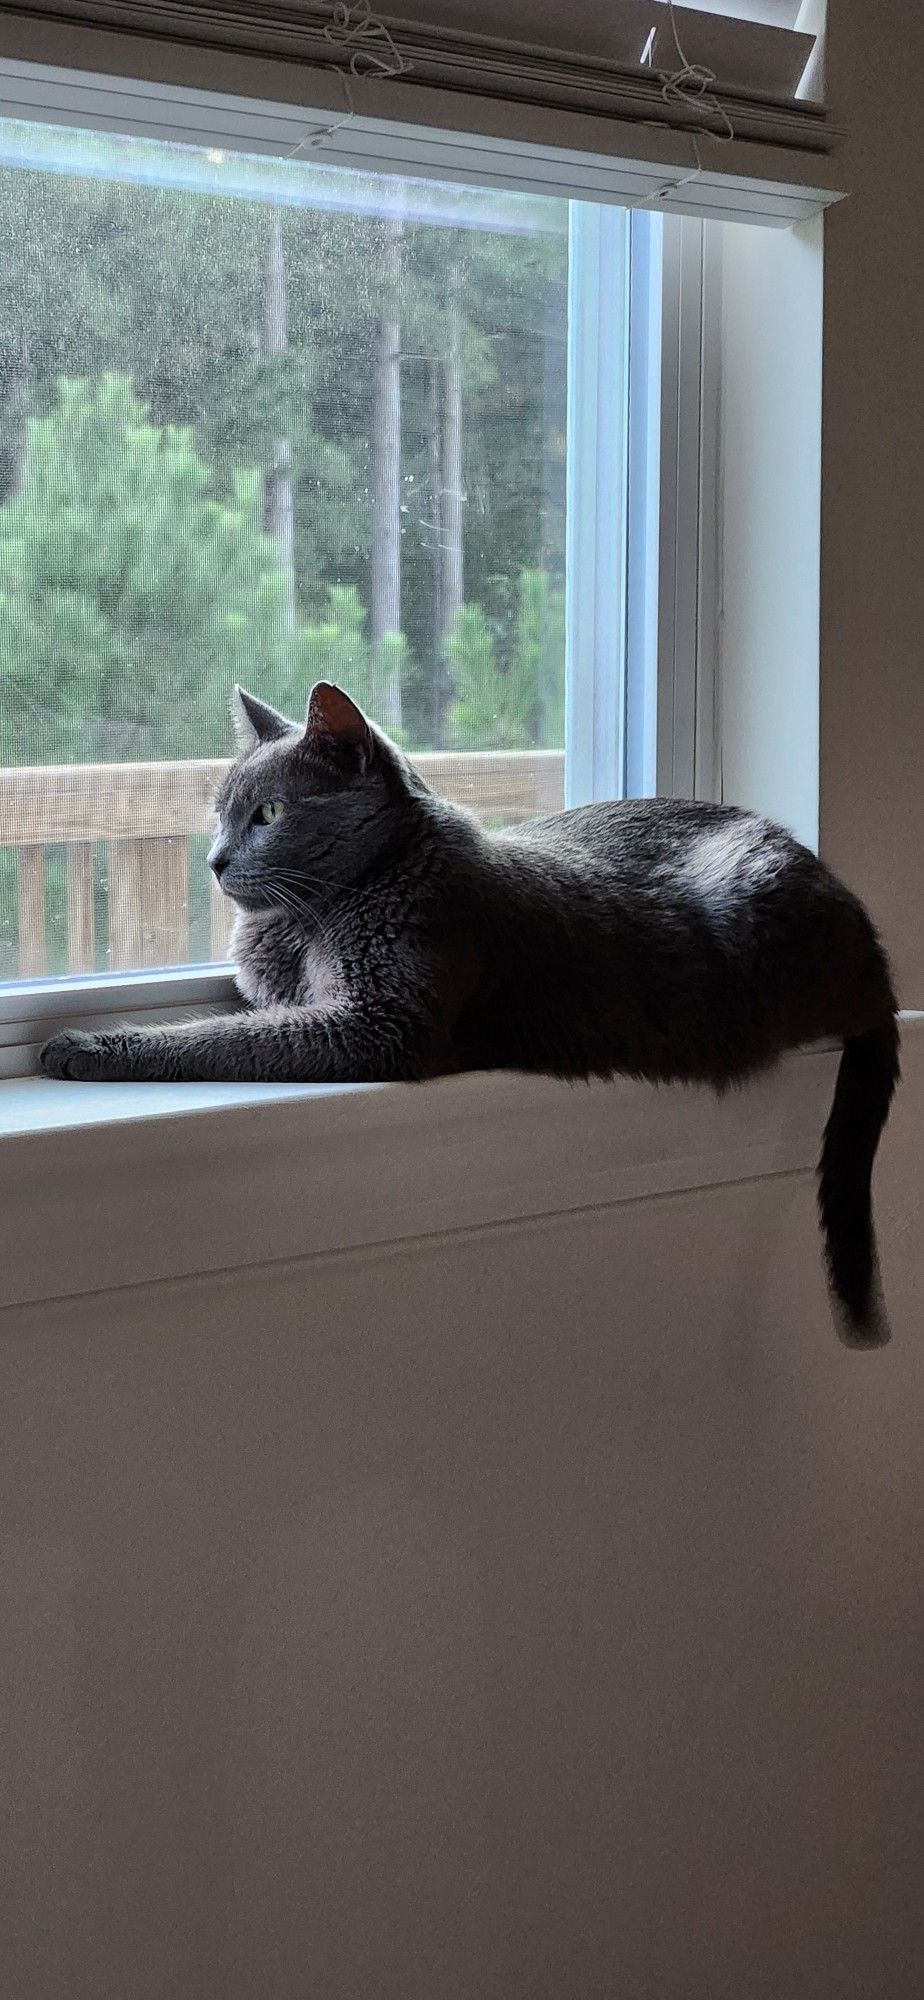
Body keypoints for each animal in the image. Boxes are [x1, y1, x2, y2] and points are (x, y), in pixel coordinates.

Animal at [39, 680, 900, 1352]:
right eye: (220, 814)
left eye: (270, 813)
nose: (216, 861)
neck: (317, 921)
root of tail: (875, 957)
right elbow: (237, 1015)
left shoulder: (378, 1020)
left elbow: (222, 1038)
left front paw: (83, 1044)